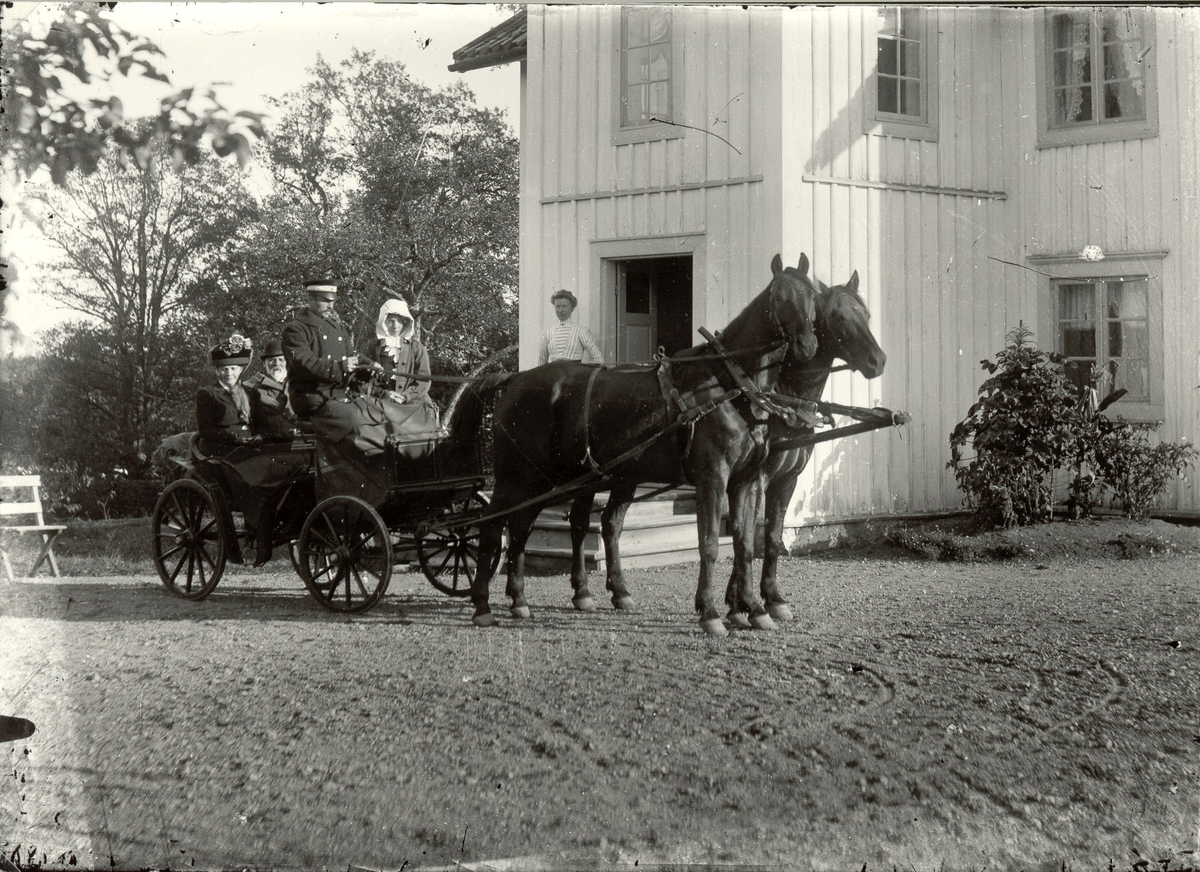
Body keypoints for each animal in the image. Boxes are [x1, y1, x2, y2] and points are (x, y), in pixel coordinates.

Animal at [464, 253, 822, 636]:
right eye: (779, 297)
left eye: (813, 296)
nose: (807, 346)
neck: (726, 384)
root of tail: (515, 379)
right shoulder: (712, 477)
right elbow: (710, 543)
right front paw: (711, 612)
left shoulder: (746, 480)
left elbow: (744, 543)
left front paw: (752, 608)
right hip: (516, 477)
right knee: (491, 527)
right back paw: (483, 604)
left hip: (552, 479)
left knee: (522, 527)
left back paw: (520, 599)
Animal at [724, 264, 887, 624]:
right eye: (836, 317)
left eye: (866, 313)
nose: (878, 360)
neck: (785, 399)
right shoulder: (757, 478)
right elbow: (748, 535)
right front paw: (743, 602)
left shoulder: (787, 480)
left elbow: (769, 537)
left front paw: (766, 598)